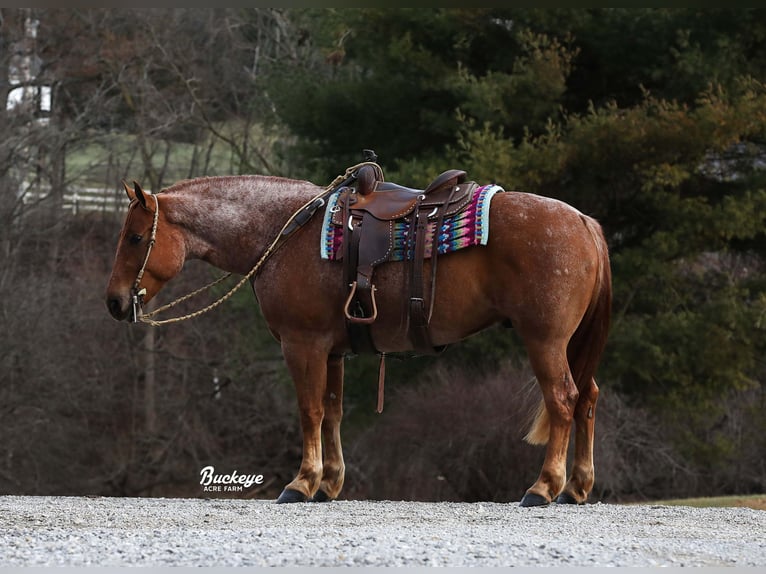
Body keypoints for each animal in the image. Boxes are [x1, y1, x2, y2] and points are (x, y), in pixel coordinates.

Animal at [106, 172, 612, 508]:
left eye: (135, 237)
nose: (113, 301)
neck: (284, 232)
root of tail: (584, 221)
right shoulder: (332, 352)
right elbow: (332, 412)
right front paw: (328, 483)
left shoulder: (303, 345)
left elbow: (309, 411)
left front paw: (302, 482)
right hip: (570, 345)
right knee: (587, 398)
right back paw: (577, 486)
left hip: (545, 340)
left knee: (563, 400)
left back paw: (544, 487)